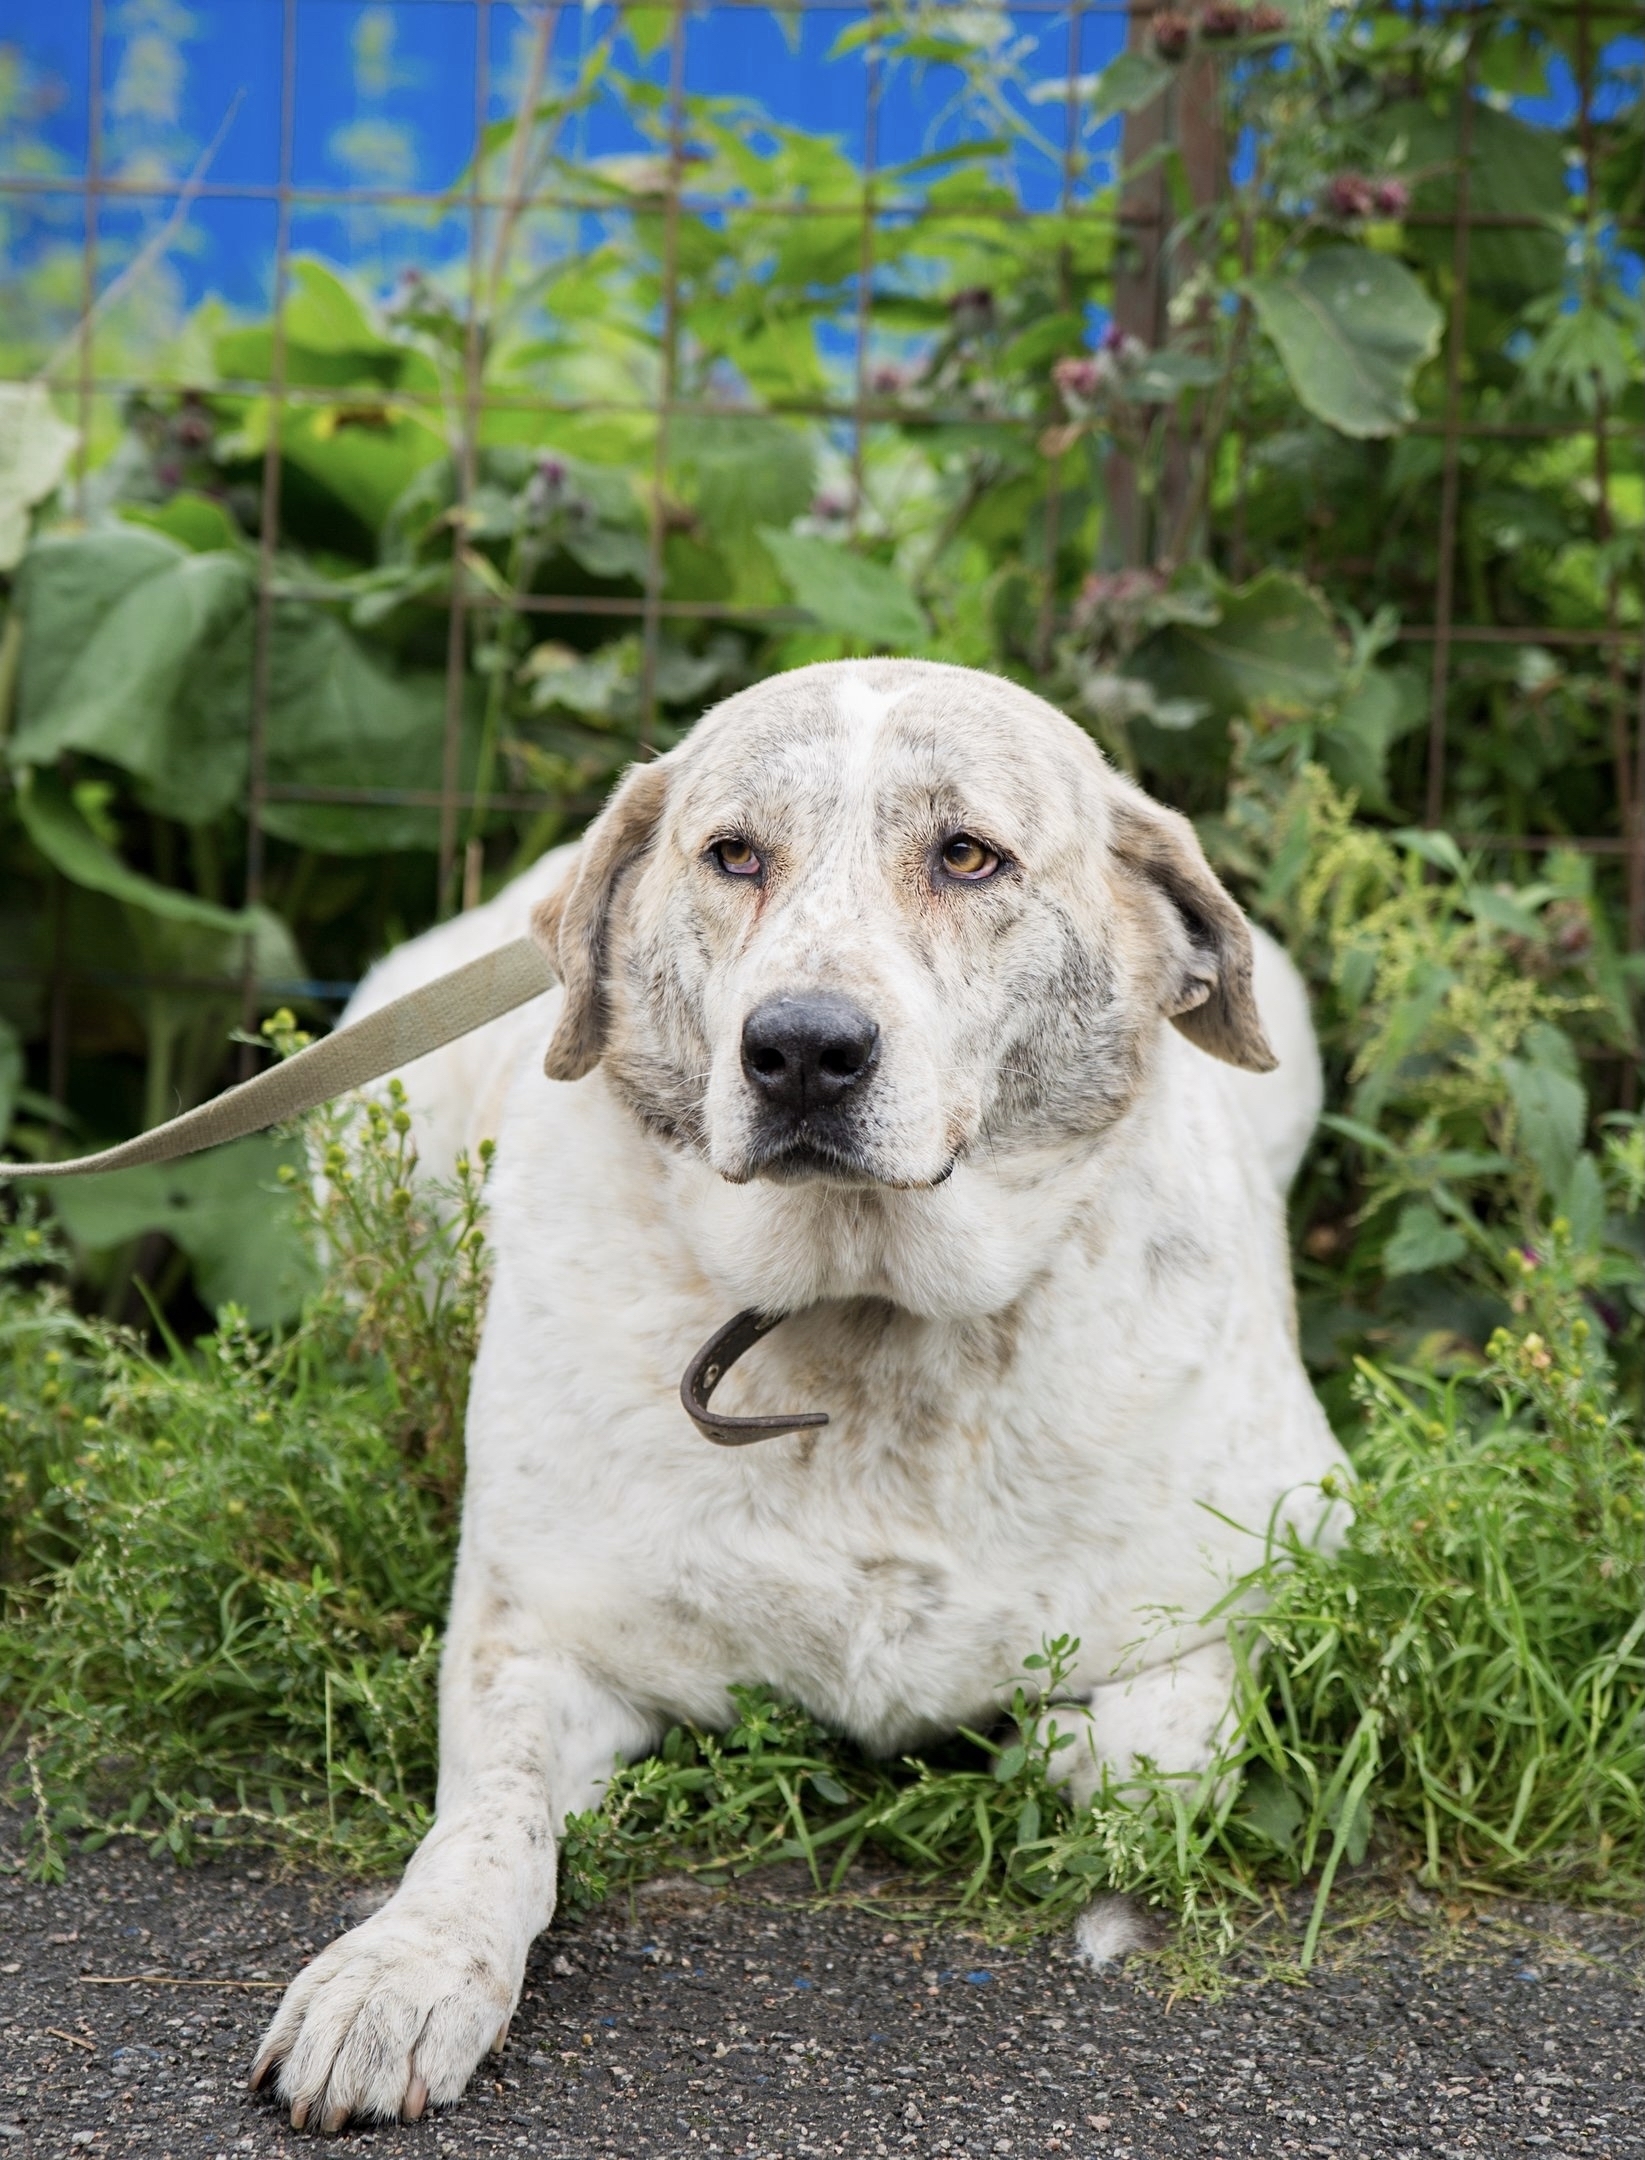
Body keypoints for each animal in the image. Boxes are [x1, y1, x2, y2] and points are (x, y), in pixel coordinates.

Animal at [247, 652, 1347, 2125]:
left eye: (965, 854)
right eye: (733, 855)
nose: (804, 1050)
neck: (869, 1315)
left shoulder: (1292, 1550)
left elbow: (1159, 1750)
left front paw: (1054, 1752)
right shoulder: (532, 1633)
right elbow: (486, 1825)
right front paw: (401, 1977)